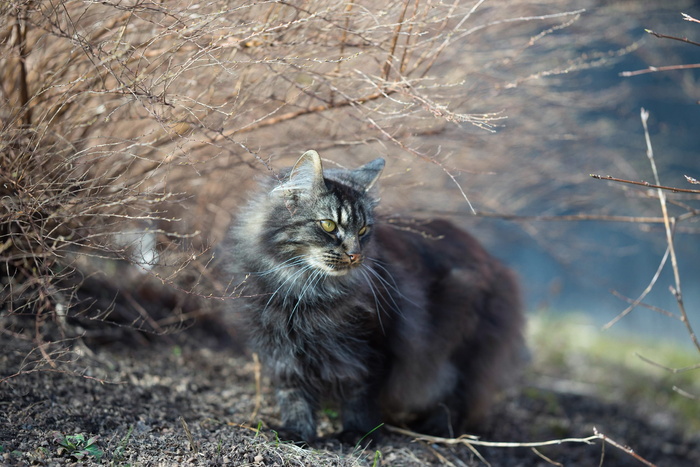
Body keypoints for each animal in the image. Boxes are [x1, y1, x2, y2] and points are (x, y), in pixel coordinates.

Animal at [227, 149, 524, 442]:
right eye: (328, 225)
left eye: (362, 230)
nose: (355, 254)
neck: (304, 291)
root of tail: (495, 262)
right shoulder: (282, 353)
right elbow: (294, 397)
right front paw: (296, 432)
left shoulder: (371, 349)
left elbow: (360, 397)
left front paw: (357, 435)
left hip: (462, 347)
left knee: (458, 397)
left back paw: (437, 430)